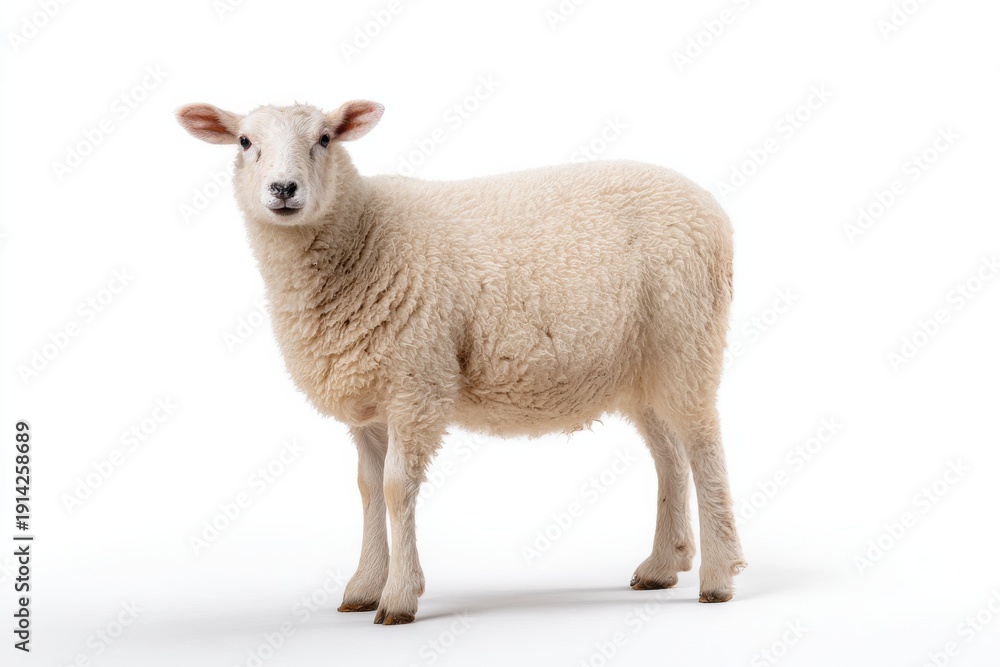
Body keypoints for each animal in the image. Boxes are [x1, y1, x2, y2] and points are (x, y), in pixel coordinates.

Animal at [175, 100, 746, 625]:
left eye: (324, 137)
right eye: (245, 142)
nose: (283, 189)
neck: (364, 236)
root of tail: (710, 206)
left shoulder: (417, 381)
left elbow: (396, 487)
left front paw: (399, 597)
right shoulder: (371, 395)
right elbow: (367, 488)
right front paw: (364, 585)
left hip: (686, 339)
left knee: (703, 449)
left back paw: (718, 577)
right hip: (641, 365)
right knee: (669, 455)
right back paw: (663, 565)